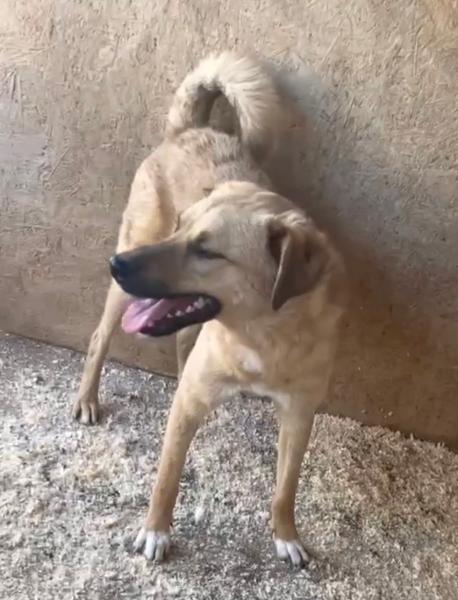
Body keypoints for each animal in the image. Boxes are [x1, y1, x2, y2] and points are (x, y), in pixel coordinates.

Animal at [73, 52, 346, 567]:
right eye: (181, 227)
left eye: (206, 251)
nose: (116, 266)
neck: (261, 334)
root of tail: (190, 129)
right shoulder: (188, 410)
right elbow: (167, 477)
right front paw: (155, 531)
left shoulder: (300, 414)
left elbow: (286, 487)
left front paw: (286, 534)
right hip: (129, 266)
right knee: (100, 338)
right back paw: (87, 399)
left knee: (183, 344)